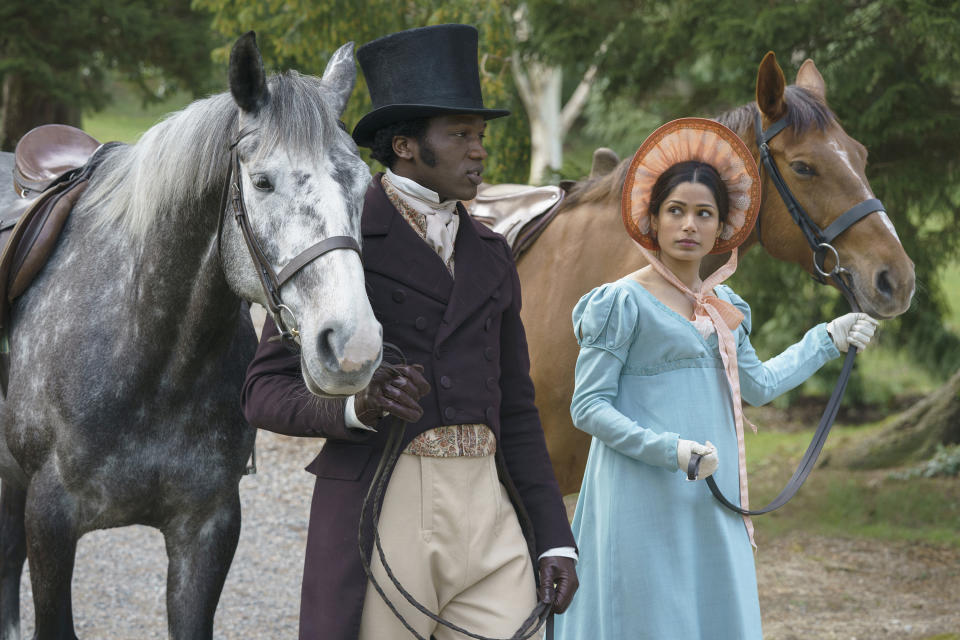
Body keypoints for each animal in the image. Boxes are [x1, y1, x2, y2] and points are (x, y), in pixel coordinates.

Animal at [0, 32, 378, 636]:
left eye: (363, 183)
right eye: (262, 181)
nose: (353, 347)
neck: (152, 359)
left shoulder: (207, 528)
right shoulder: (51, 522)